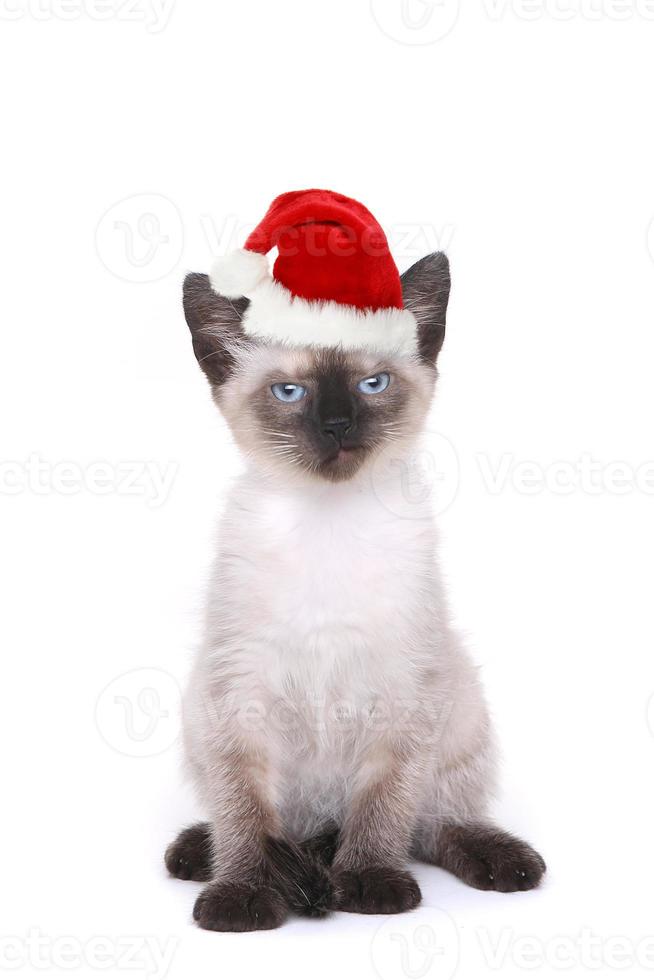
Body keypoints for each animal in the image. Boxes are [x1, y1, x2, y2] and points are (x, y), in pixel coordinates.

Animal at [167, 249, 544, 932]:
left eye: (374, 385)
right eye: (290, 392)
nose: (338, 426)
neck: (329, 526)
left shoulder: (404, 694)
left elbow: (383, 806)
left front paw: (370, 883)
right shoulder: (238, 700)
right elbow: (243, 815)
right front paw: (241, 896)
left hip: (461, 706)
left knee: (433, 824)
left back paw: (500, 863)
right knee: (270, 826)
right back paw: (201, 854)